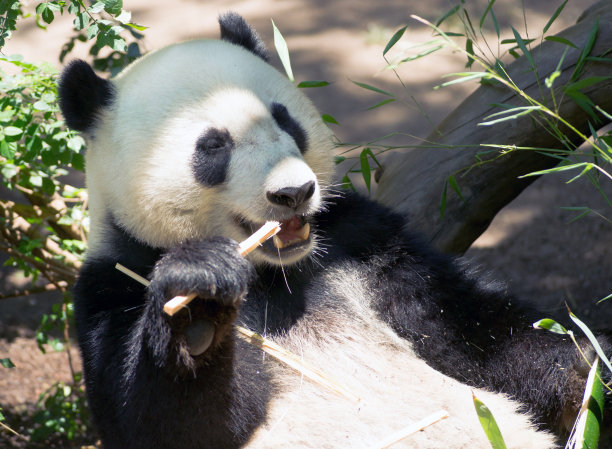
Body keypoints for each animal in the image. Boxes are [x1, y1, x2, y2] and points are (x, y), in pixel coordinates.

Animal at [56, 11, 608, 448]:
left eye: (285, 119)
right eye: (213, 146)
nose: (293, 192)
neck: (276, 270)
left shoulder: (359, 243)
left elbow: (471, 332)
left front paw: (586, 368)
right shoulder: (117, 280)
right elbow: (166, 422)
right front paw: (198, 307)